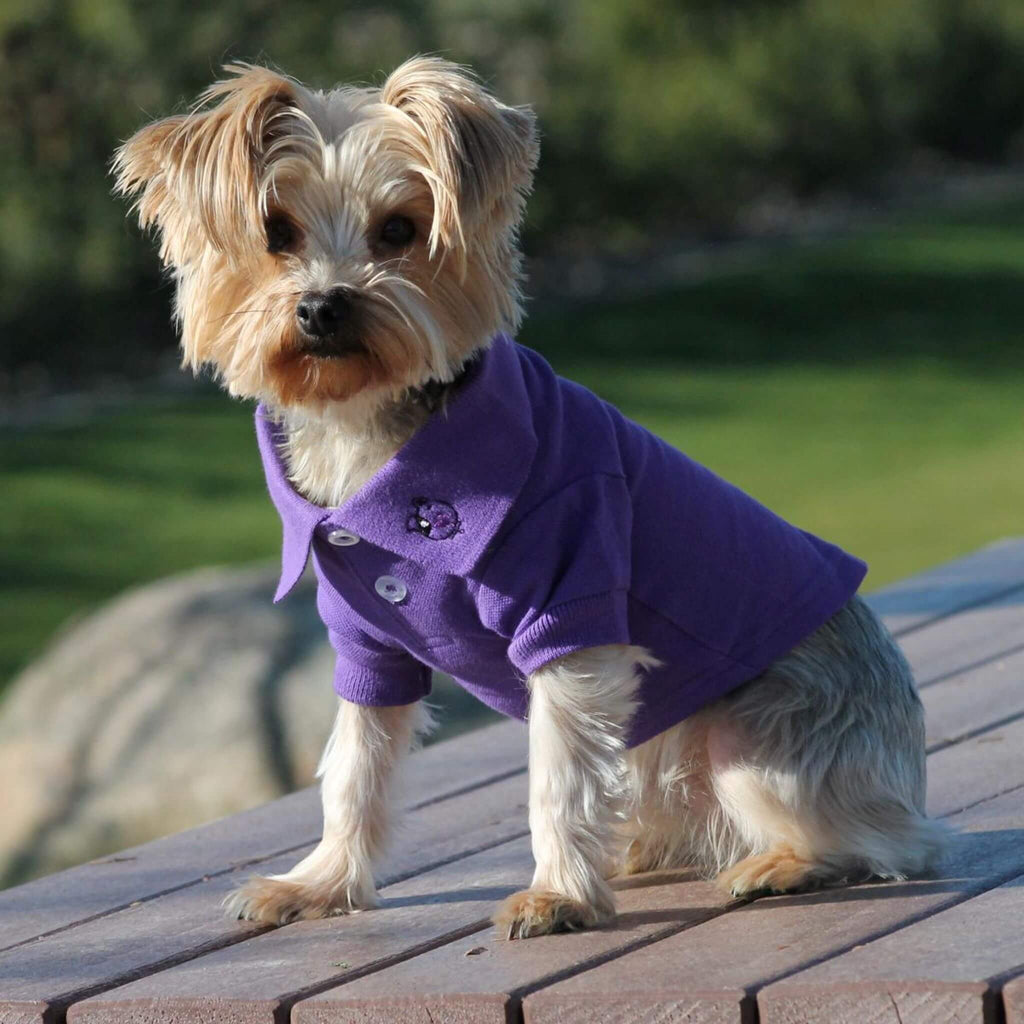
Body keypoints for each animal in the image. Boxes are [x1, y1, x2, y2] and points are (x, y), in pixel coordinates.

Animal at [112, 54, 942, 937]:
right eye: (276, 233)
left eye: (399, 231)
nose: (324, 305)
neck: (375, 435)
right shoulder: (364, 644)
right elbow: (354, 763)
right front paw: (321, 883)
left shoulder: (570, 614)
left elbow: (559, 771)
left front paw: (558, 895)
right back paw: (644, 849)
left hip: (754, 736)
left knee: (888, 843)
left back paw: (780, 865)